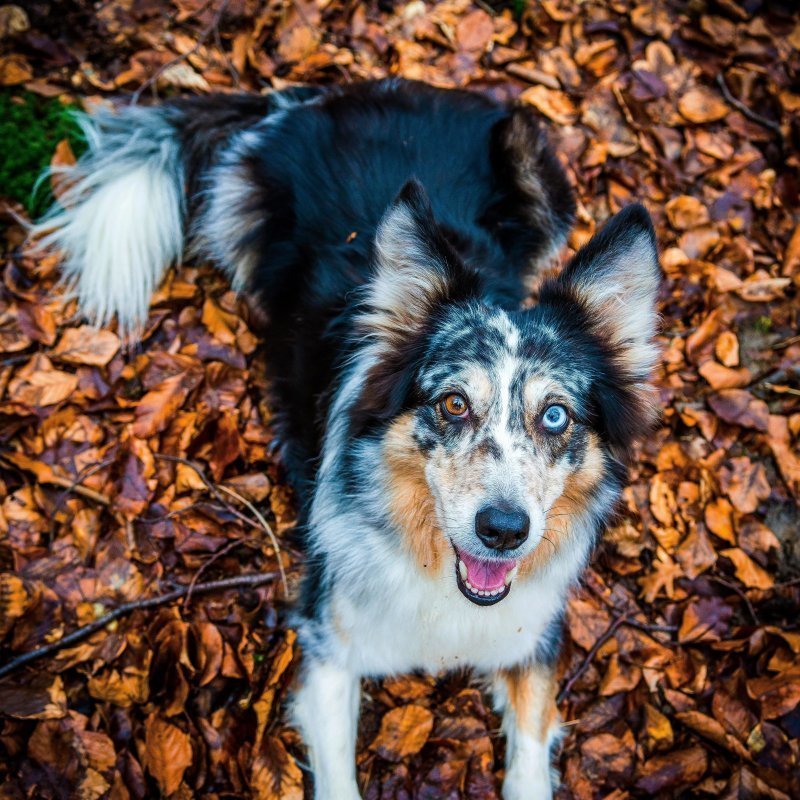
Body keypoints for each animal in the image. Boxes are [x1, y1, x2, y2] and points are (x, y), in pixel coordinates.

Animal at [31, 78, 660, 796]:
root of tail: (318, 97)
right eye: (452, 404)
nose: (504, 530)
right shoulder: (328, 643)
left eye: (555, 416)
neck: (441, 579)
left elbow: (529, 759)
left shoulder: (530, 638)